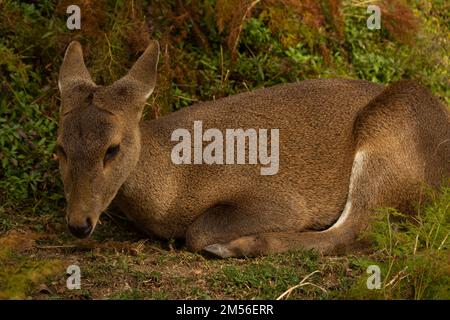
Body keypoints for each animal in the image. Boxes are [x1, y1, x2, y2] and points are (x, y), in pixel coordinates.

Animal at [57, 41, 450, 258]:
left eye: (112, 148)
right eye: (59, 148)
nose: (78, 223)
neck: (174, 185)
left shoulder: (278, 198)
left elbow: (198, 231)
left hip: (391, 124)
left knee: (354, 230)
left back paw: (238, 247)